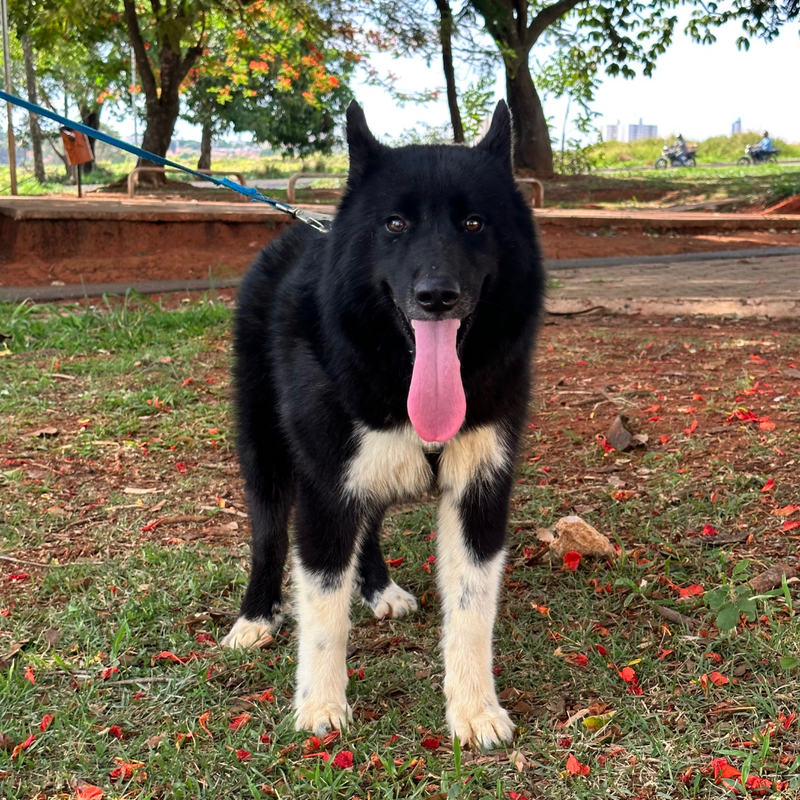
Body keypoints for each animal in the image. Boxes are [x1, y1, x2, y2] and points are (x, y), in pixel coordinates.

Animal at [222, 101, 540, 752]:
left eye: (474, 223)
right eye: (395, 224)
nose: (437, 296)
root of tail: (302, 229)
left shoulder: (480, 493)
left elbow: (471, 610)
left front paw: (473, 708)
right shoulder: (324, 492)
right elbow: (322, 611)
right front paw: (320, 704)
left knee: (368, 523)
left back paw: (376, 588)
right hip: (266, 453)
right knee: (267, 536)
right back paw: (256, 615)